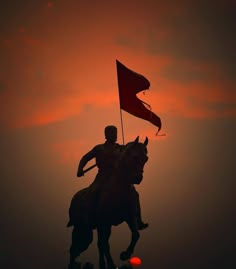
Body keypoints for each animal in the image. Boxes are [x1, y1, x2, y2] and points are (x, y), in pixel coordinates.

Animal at [67, 136, 148, 268]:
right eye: (135, 156)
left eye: (146, 158)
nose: (138, 178)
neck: (119, 190)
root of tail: (74, 199)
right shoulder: (104, 222)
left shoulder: (129, 218)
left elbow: (136, 234)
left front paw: (125, 254)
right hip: (83, 228)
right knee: (76, 248)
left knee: (99, 244)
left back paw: (103, 264)